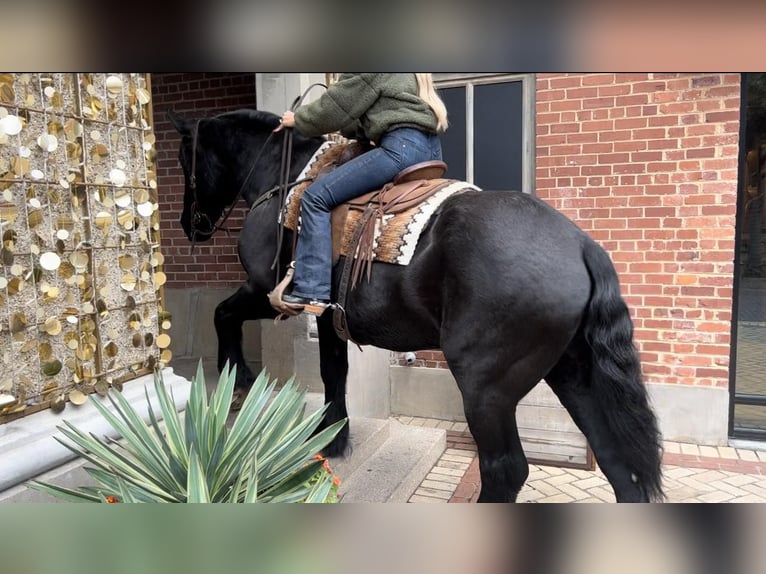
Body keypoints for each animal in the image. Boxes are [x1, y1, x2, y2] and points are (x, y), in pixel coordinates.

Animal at [170, 108, 664, 504]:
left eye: (182, 159)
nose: (191, 226)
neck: (285, 176)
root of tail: (581, 245)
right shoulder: (329, 318)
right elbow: (334, 373)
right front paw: (334, 438)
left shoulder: (266, 292)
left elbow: (223, 315)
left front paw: (238, 382)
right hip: (572, 371)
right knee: (616, 458)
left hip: (486, 387)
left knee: (506, 469)